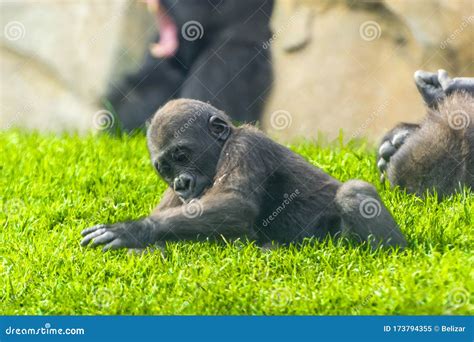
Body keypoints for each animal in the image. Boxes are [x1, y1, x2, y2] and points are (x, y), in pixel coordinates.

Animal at [80, 99, 404, 251]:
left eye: (182, 156)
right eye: (166, 169)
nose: (181, 183)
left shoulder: (246, 145)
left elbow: (236, 203)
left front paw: (133, 229)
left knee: (354, 192)